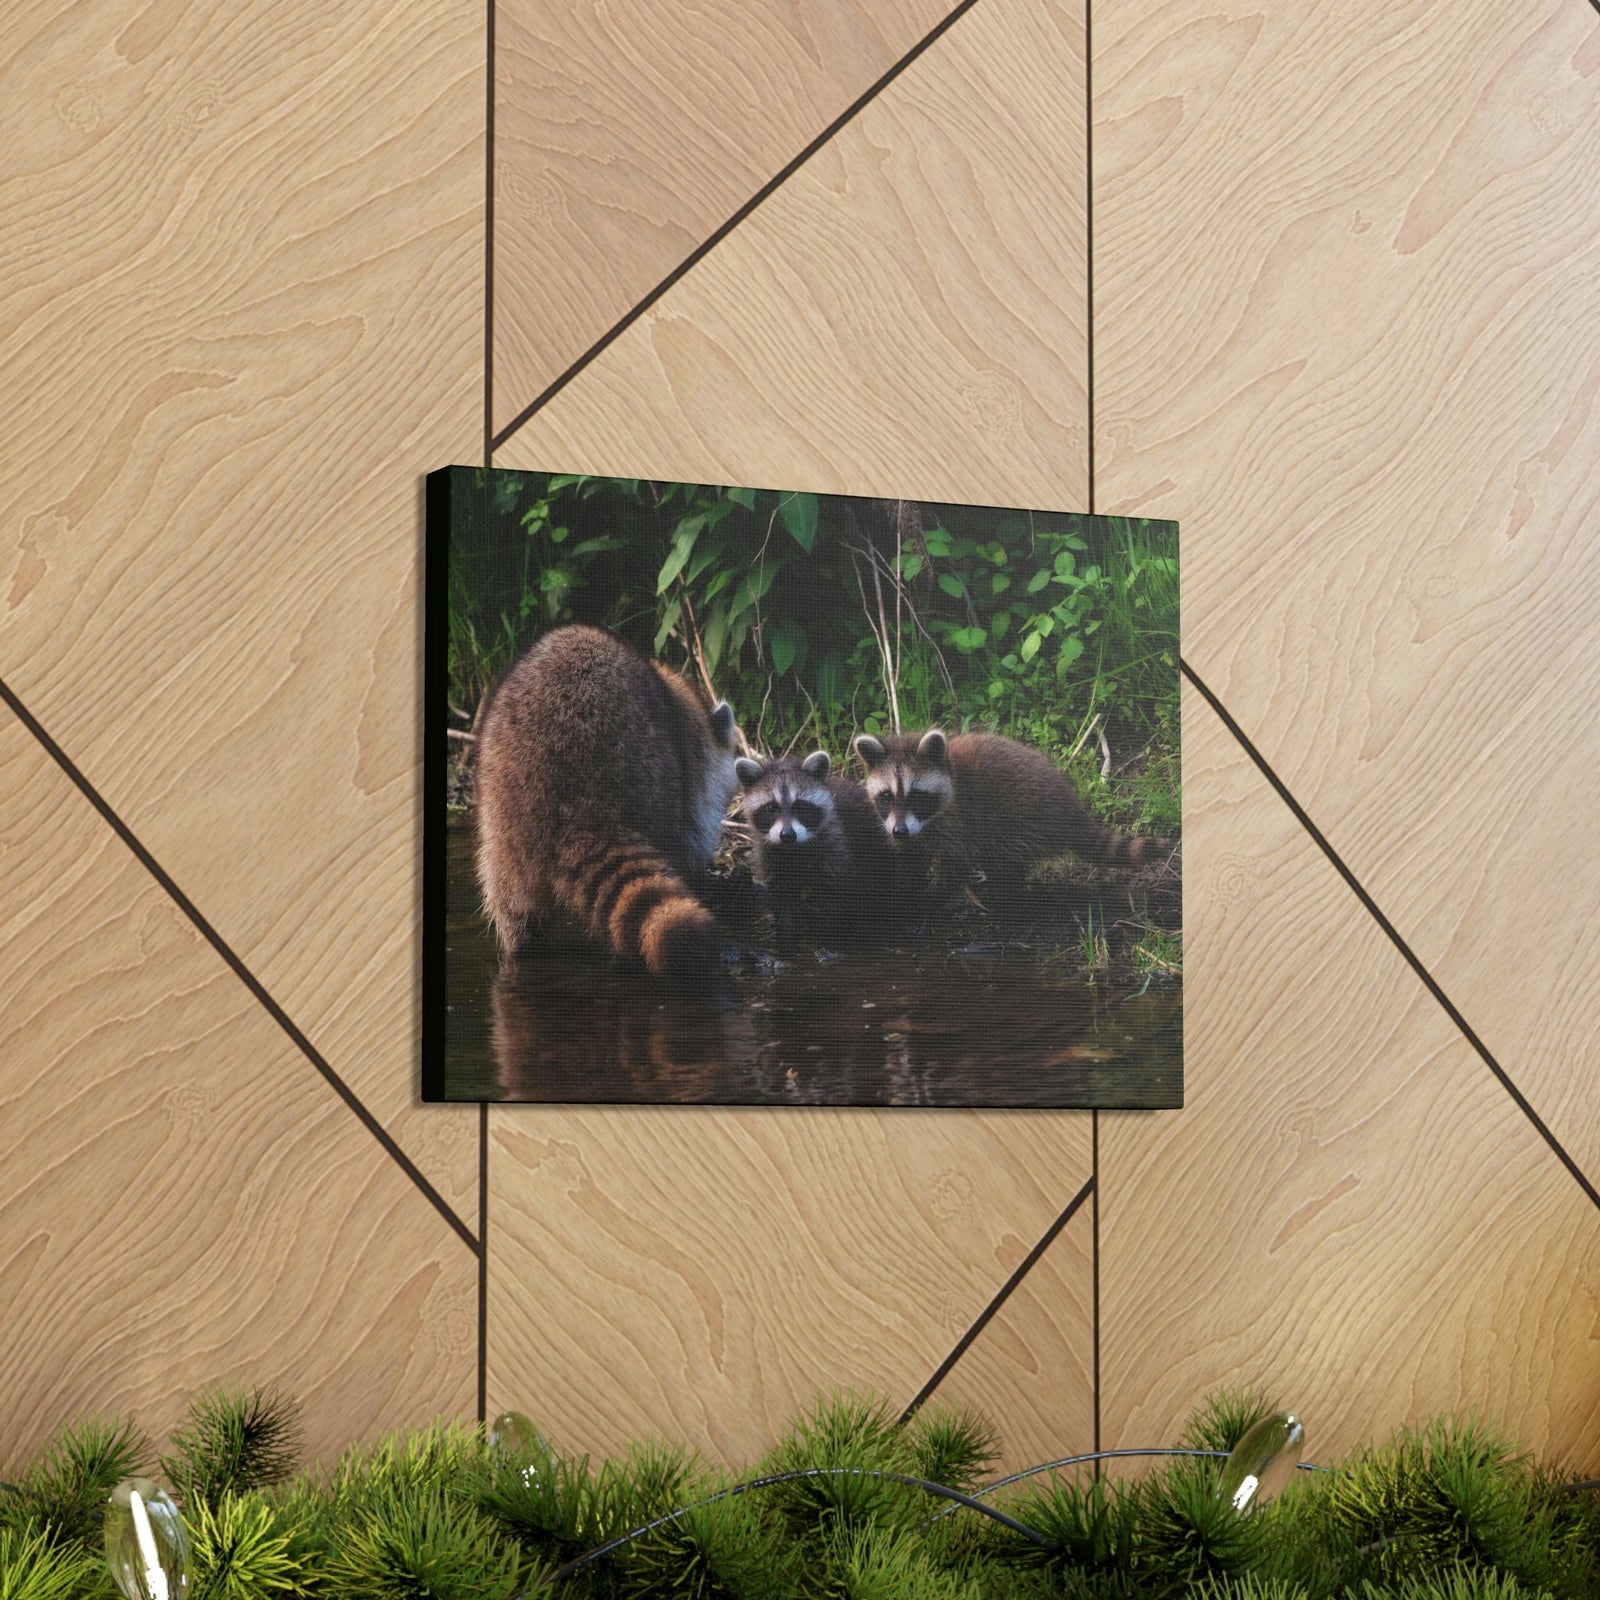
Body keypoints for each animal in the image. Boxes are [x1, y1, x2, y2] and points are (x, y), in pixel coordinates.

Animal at [734, 750, 896, 943]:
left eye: (800, 806)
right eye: (771, 808)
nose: (787, 834)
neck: (793, 849)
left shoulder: (836, 848)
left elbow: (838, 897)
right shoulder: (769, 856)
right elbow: (781, 898)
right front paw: (787, 935)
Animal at [852, 729, 1168, 902]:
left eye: (916, 796)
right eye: (886, 796)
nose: (899, 832)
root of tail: (1069, 805)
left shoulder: (958, 822)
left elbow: (956, 864)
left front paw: (932, 894)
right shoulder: (905, 828)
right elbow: (909, 858)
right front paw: (904, 886)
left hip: (1021, 816)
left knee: (1004, 853)